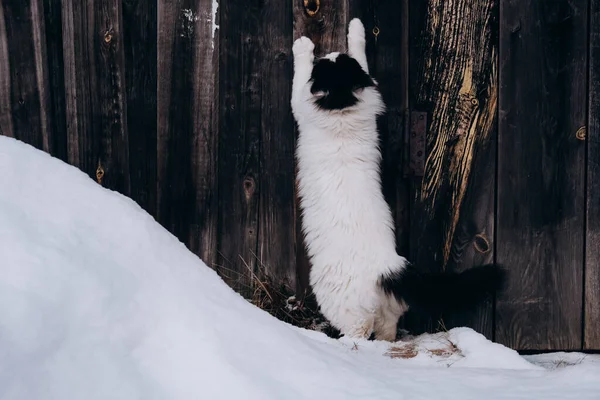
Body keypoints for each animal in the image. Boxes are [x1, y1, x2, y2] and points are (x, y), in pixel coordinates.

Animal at [292, 18, 504, 342]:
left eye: (327, 64)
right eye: (335, 61)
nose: (329, 54)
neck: (342, 109)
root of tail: (389, 269)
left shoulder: (300, 104)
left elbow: (299, 74)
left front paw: (303, 46)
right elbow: (361, 48)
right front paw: (356, 27)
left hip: (338, 299)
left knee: (358, 333)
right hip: (386, 313)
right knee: (386, 330)